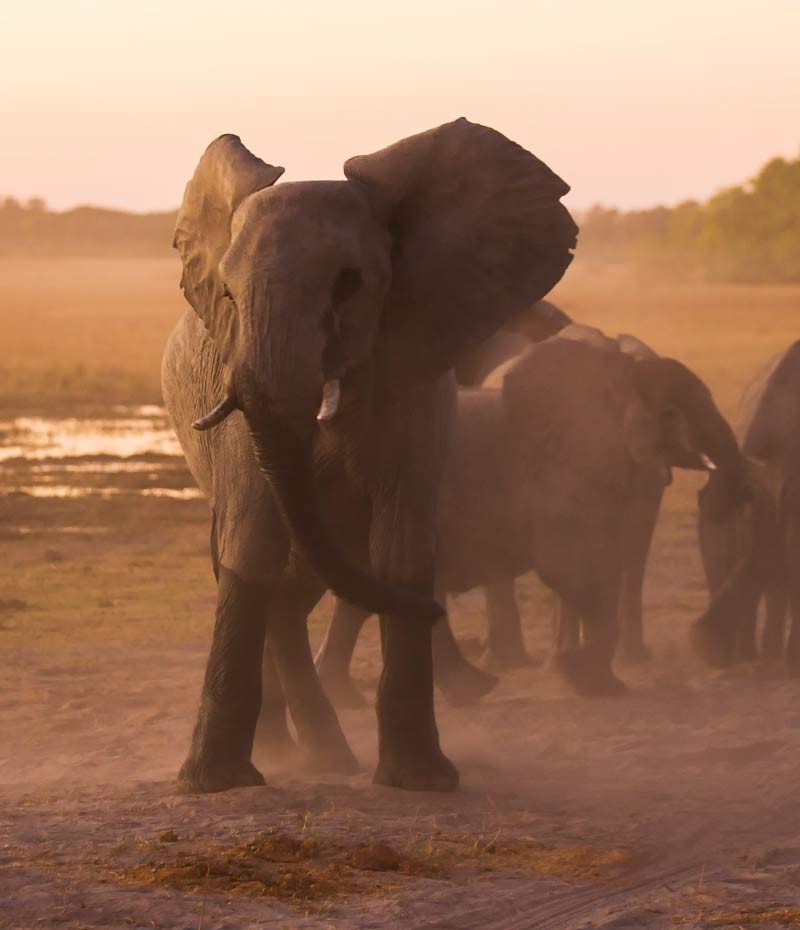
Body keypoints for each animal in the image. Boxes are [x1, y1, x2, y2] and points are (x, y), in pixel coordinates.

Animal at [161, 119, 576, 793]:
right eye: (225, 293)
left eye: (349, 284)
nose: (439, 608)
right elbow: (253, 544)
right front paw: (213, 786)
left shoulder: (414, 375)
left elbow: (400, 547)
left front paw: (420, 782)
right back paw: (308, 757)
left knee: (300, 584)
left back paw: (322, 757)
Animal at [315, 328, 748, 701]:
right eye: (672, 413)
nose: (717, 497)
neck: (621, 369)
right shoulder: (558, 471)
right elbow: (573, 567)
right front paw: (585, 678)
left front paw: (587, 678)